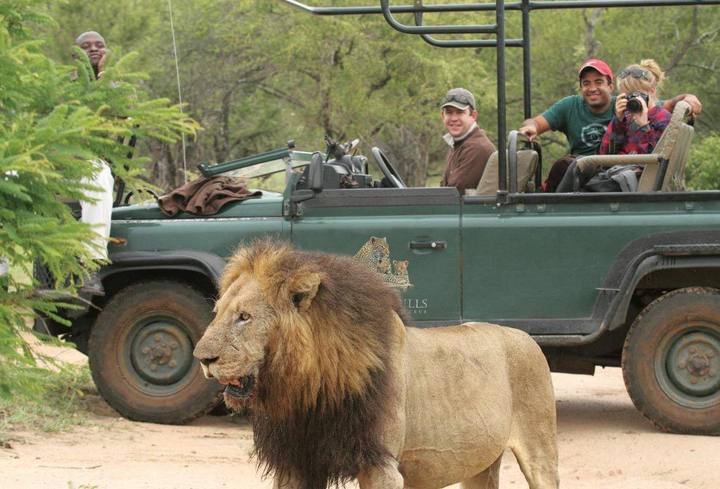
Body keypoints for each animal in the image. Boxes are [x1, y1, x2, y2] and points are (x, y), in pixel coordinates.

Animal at [194, 241, 559, 489]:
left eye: (244, 317)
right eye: (217, 313)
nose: (202, 358)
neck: (307, 391)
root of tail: (525, 337)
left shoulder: (380, 465)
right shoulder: (296, 463)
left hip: (540, 450)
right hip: (481, 464)